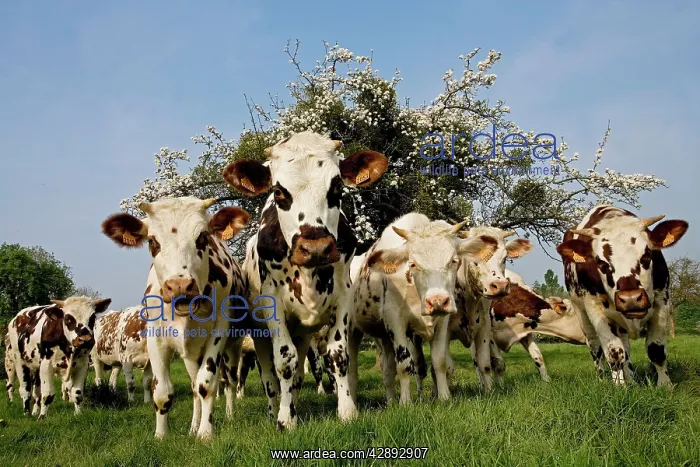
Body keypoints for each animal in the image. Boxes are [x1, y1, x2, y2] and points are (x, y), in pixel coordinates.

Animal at [101, 196, 250, 439]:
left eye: (203, 237)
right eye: (152, 241)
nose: (180, 286)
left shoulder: (218, 334)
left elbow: (207, 384)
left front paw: (206, 433)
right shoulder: (155, 337)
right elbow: (162, 391)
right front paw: (162, 435)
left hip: (233, 346)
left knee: (228, 380)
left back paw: (229, 415)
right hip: (190, 354)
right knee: (193, 386)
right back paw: (193, 426)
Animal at [222, 130, 388, 430]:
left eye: (337, 187)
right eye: (278, 191)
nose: (316, 248)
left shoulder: (342, 298)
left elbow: (338, 355)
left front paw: (347, 411)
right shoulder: (273, 306)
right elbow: (284, 361)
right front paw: (285, 420)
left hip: (303, 332)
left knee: (299, 373)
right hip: (259, 335)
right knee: (270, 377)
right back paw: (274, 410)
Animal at [348, 213, 502, 403]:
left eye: (454, 260)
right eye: (412, 264)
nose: (437, 301)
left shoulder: (443, 322)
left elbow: (439, 361)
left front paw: (444, 397)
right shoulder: (396, 322)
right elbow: (405, 365)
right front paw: (405, 402)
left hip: (384, 338)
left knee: (388, 371)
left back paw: (390, 402)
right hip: (352, 331)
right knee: (352, 371)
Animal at [555, 204, 688, 385]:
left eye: (647, 255)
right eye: (601, 263)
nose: (631, 299)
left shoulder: (663, 300)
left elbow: (656, 350)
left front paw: (665, 385)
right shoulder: (594, 308)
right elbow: (614, 353)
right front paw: (619, 387)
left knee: (626, 348)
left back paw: (631, 380)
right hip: (581, 314)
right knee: (596, 349)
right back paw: (603, 381)